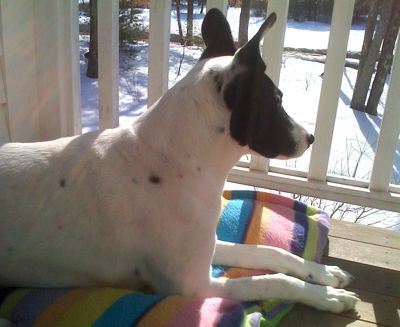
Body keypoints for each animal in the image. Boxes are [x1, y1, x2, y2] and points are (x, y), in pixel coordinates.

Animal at [0, 8, 356, 316]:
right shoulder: (194, 286)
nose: (310, 138)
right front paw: (326, 296)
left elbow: (268, 252)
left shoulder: (209, 245)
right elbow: (273, 281)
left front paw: (323, 273)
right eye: (277, 100)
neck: (176, 159)